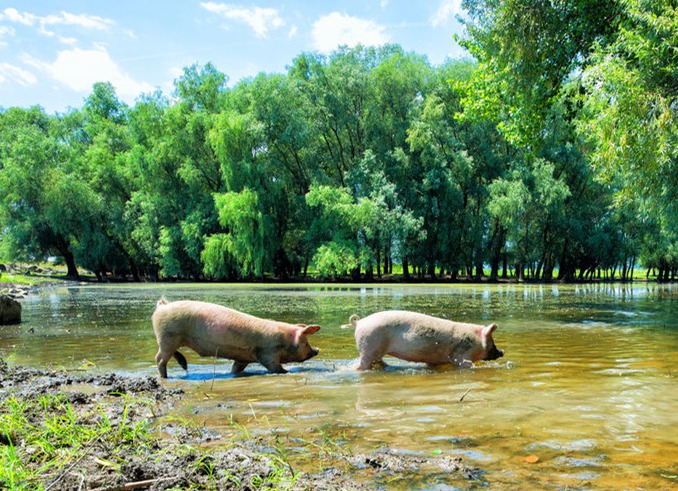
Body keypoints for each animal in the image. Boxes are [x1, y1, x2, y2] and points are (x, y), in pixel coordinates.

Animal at [153, 298, 322, 378]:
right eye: (306, 343)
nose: (317, 349)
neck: (284, 340)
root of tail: (162, 306)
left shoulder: (243, 358)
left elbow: (236, 368)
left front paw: (233, 374)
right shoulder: (268, 353)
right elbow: (275, 368)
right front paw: (286, 372)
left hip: (172, 339)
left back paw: (183, 366)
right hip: (167, 338)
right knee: (159, 359)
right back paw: (166, 377)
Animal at [340, 312, 504, 368]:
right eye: (492, 342)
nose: (502, 351)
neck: (475, 341)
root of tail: (359, 322)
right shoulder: (460, 355)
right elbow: (465, 364)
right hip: (369, 346)